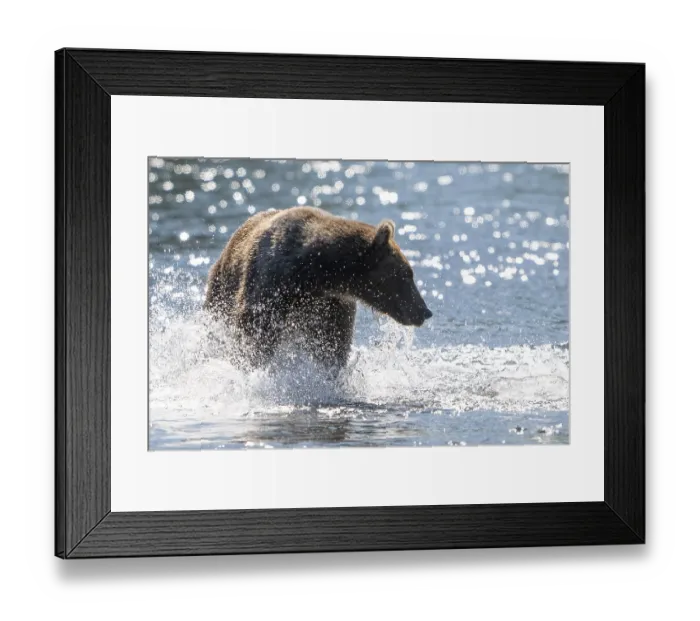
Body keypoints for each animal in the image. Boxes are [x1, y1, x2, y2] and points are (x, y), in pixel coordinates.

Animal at [204, 206, 432, 372]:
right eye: (407, 274)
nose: (424, 311)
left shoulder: (332, 305)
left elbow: (333, 344)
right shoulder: (272, 285)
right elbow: (255, 331)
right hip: (221, 287)